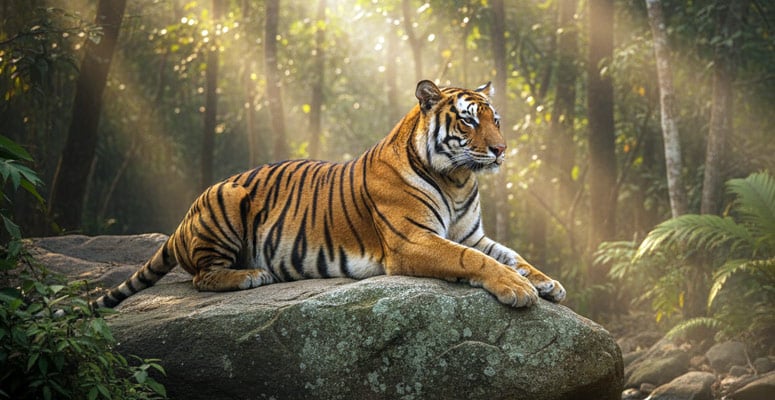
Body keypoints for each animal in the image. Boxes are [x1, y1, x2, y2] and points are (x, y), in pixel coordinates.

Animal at [92, 80, 565, 310]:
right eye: (468, 120)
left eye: (495, 120)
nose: (502, 149)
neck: (458, 179)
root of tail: (182, 221)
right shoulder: (413, 240)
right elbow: (474, 261)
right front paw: (518, 289)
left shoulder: (472, 234)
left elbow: (511, 255)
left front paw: (546, 282)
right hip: (226, 200)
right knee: (201, 277)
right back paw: (249, 275)